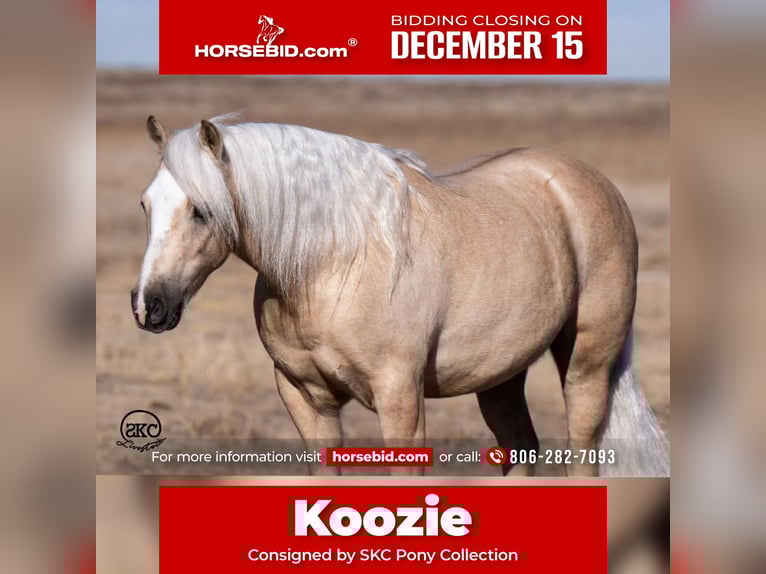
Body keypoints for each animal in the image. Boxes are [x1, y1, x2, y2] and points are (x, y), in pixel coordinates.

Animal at [130, 115, 670, 477]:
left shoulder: (399, 397)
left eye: (201, 210)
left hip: (586, 365)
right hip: (500, 376)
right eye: (145, 204)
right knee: (521, 449)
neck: (331, 264)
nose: (148, 306)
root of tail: (590, 183)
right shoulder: (305, 399)